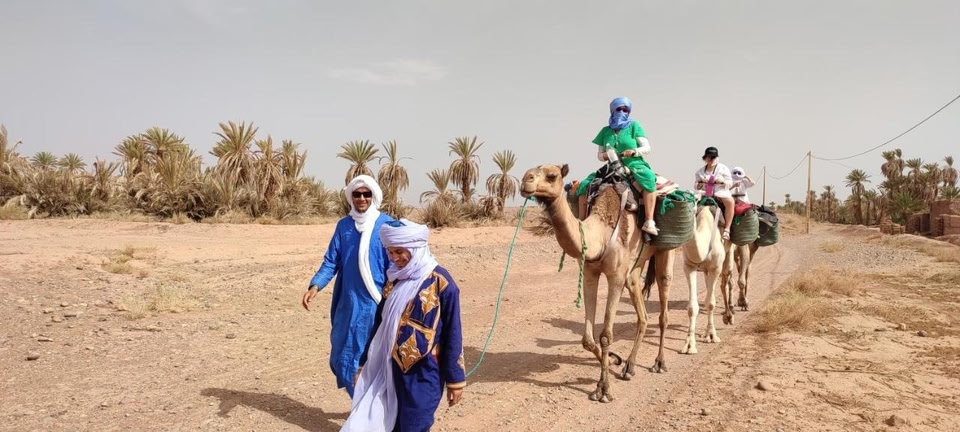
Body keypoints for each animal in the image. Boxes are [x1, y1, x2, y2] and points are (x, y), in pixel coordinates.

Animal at [520, 164, 675, 403]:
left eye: (552, 176)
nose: (525, 181)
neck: (601, 233)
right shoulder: (590, 274)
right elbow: (587, 339)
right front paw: (612, 360)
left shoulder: (616, 277)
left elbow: (605, 336)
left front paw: (603, 389)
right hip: (635, 267)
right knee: (642, 313)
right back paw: (629, 367)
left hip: (665, 252)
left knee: (663, 303)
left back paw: (659, 363)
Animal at [680, 204, 727, 354]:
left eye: (694, 201)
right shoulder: (689, 267)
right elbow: (692, 307)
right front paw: (689, 345)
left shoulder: (716, 268)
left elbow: (711, 303)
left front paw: (712, 336)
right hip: (705, 271)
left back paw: (729, 315)